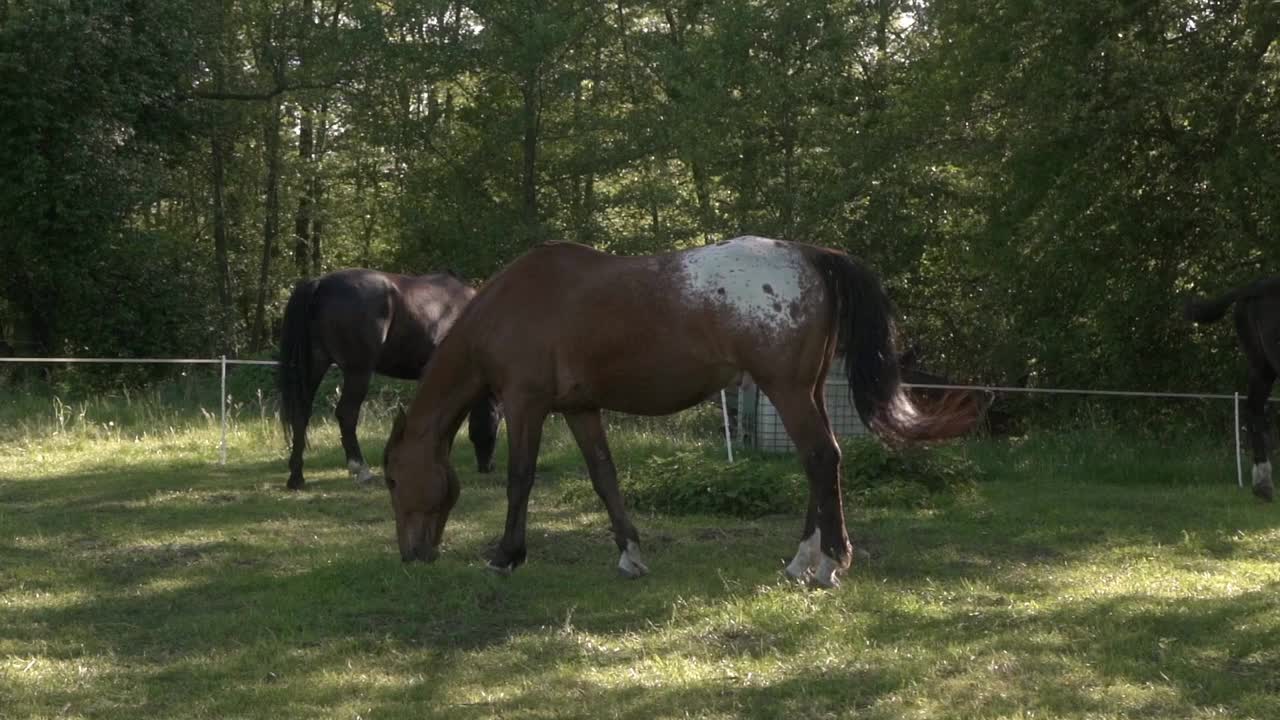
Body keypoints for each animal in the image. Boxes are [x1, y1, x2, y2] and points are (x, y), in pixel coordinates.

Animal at [280, 266, 499, 489]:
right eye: (497, 421)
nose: (488, 467)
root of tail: (321, 283)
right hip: (358, 372)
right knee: (346, 414)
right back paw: (361, 470)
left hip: (315, 366)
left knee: (301, 414)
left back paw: (296, 477)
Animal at [384, 235, 972, 584]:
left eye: (392, 479)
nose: (411, 555)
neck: (511, 305)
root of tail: (809, 254)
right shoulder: (580, 409)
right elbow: (604, 478)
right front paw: (630, 553)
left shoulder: (525, 404)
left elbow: (520, 479)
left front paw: (507, 554)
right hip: (805, 391)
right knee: (821, 464)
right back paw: (802, 560)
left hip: (786, 390)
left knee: (822, 459)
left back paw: (828, 561)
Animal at [1182, 278, 1274, 502]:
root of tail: (1255, 287)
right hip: (1264, 365)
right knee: (1254, 412)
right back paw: (1263, 484)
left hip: (1262, 367)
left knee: (1254, 411)